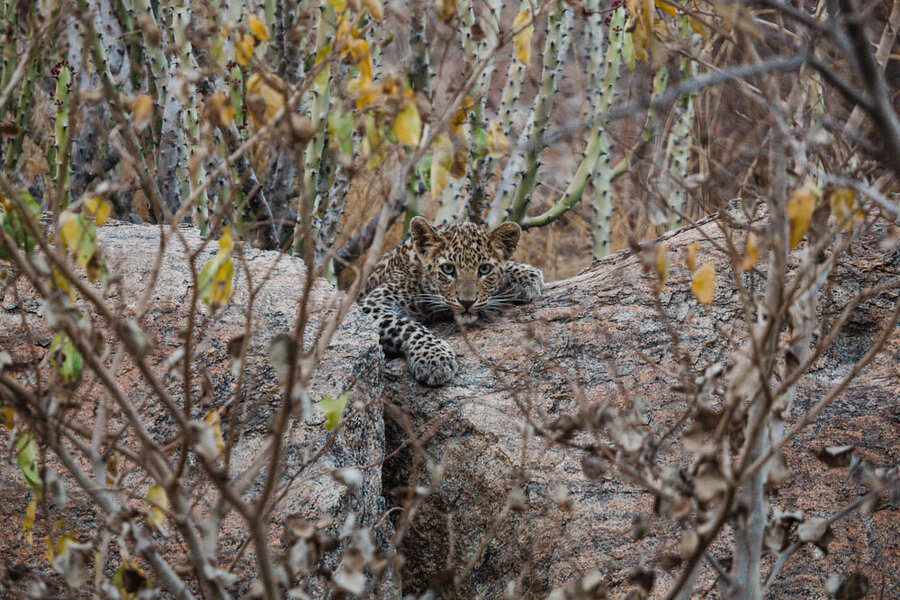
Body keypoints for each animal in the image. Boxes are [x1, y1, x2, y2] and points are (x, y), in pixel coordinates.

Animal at [356, 218, 540, 386]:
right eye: (448, 269)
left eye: (485, 269)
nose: (467, 302)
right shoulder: (371, 305)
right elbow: (406, 326)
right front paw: (434, 358)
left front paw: (527, 274)